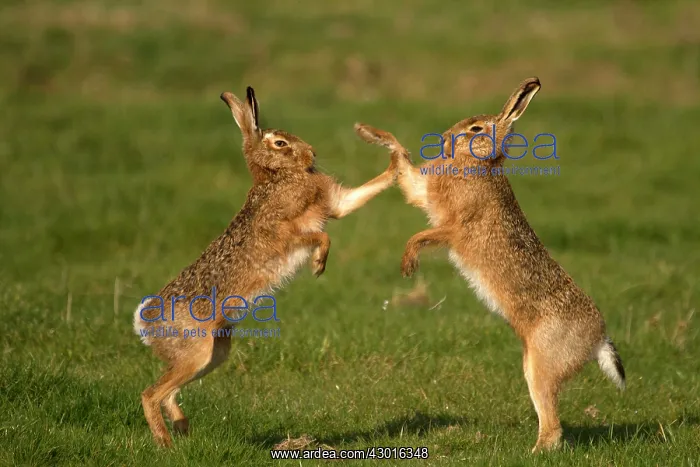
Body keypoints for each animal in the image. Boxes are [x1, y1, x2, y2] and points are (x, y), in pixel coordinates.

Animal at [133, 86, 398, 448]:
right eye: (280, 143)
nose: (312, 153)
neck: (276, 175)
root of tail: (144, 323)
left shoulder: (334, 203)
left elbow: (359, 196)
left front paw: (397, 163)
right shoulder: (286, 230)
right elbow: (321, 234)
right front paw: (318, 264)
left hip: (214, 353)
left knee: (168, 393)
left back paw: (183, 429)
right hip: (196, 350)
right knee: (151, 394)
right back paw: (166, 445)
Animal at [353, 77, 626, 453]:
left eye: (476, 129)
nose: (444, 138)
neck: (479, 164)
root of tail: (598, 340)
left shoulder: (453, 228)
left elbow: (423, 235)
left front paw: (408, 264)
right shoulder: (426, 192)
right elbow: (406, 165)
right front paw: (370, 133)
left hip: (543, 365)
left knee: (552, 425)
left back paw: (533, 452)